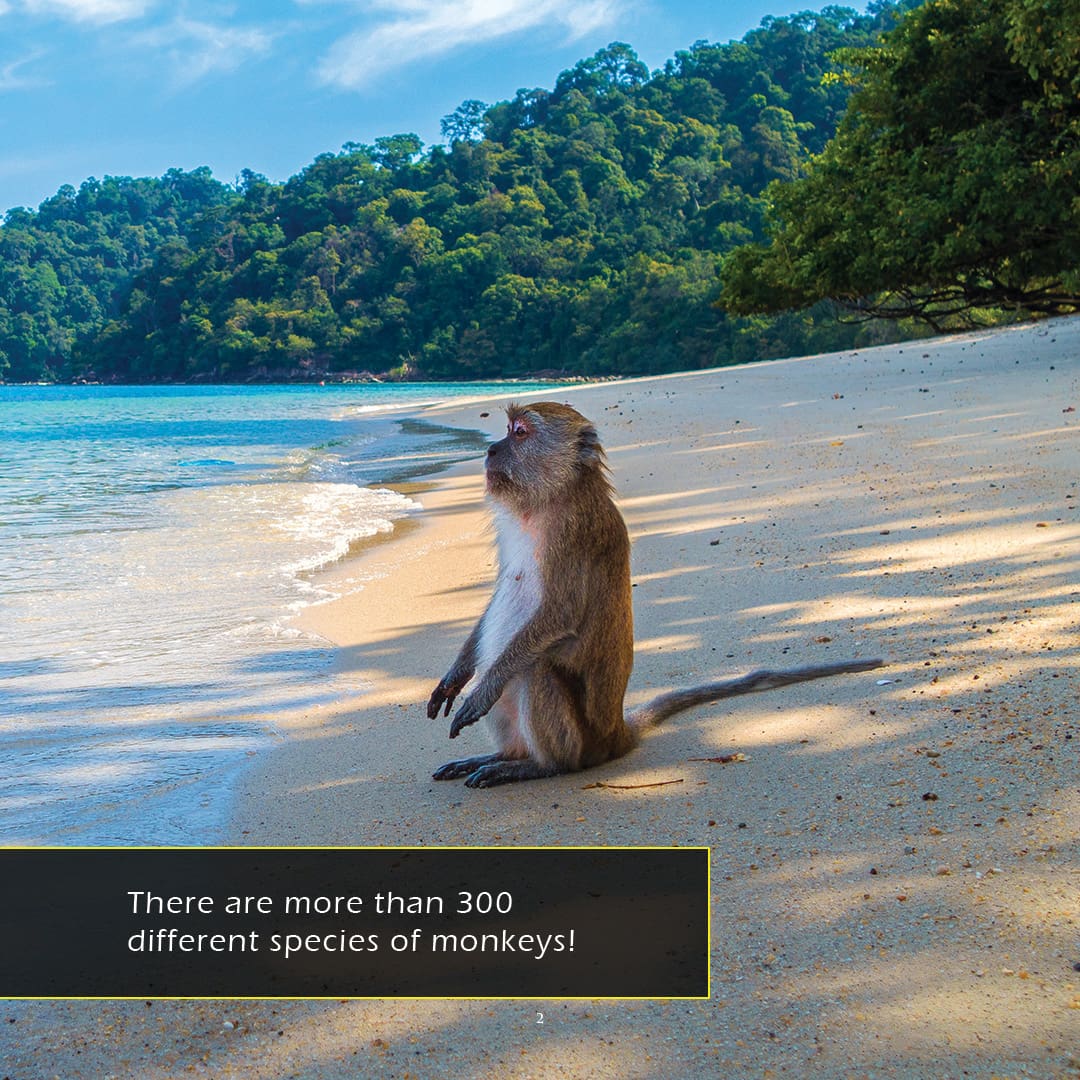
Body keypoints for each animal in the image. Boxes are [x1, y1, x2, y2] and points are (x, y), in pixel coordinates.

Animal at [427, 401, 883, 788]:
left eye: (519, 433)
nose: (490, 450)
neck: (551, 498)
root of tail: (615, 733)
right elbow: (501, 594)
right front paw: (455, 678)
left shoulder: (572, 535)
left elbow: (560, 616)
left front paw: (483, 690)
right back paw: (500, 756)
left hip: (581, 741)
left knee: (535, 670)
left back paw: (537, 766)